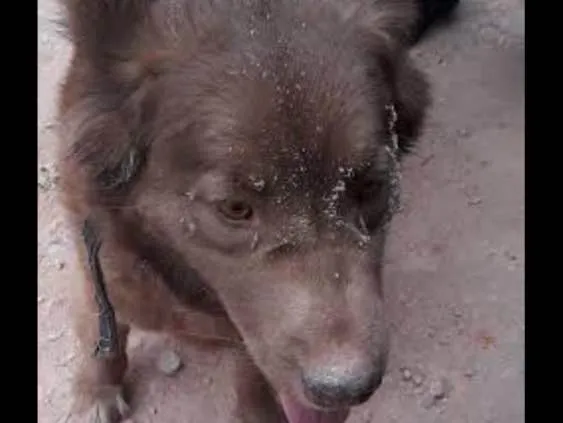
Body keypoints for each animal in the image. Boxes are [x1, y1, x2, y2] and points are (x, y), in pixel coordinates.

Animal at [56, 0, 432, 423]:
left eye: (370, 187)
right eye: (235, 208)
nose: (346, 388)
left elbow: (252, 377)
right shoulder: (97, 261)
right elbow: (99, 323)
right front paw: (96, 389)